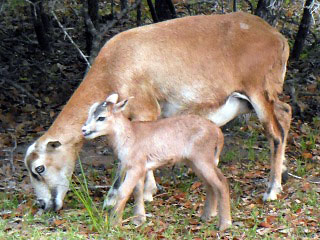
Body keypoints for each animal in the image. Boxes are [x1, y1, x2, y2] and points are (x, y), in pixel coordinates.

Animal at [81, 93, 231, 231]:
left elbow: (123, 192)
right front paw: (138, 219)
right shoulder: (139, 167)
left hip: (202, 158)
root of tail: (217, 132)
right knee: (210, 184)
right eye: (89, 113)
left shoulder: (136, 167)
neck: (129, 136)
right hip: (195, 161)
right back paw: (206, 216)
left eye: (101, 117)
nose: (84, 130)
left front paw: (114, 224)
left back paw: (224, 224)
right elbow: (137, 191)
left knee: (221, 183)